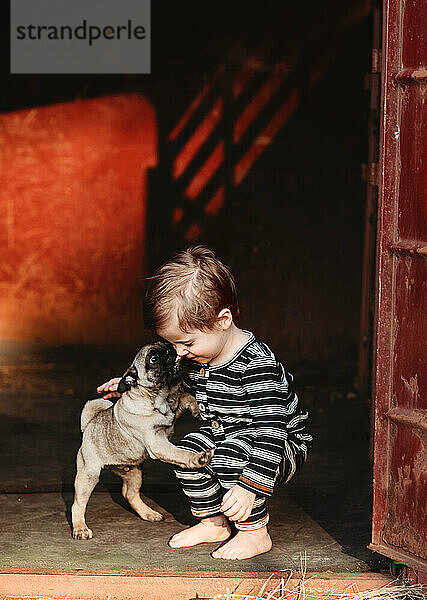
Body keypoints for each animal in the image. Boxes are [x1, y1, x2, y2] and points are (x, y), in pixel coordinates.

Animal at [72, 340, 217, 540]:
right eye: (153, 359)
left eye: (166, 345)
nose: (171, 349)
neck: (160, 397)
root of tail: (88, 425)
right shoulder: (158, 443)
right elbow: (180, 453)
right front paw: (198, 458)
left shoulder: (174, 411)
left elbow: (186, 397)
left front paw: (196, 407)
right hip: (89, 474)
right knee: (78, 503)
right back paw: (80, 528)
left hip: (134, 472)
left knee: (129, 494)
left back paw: (149, 513)